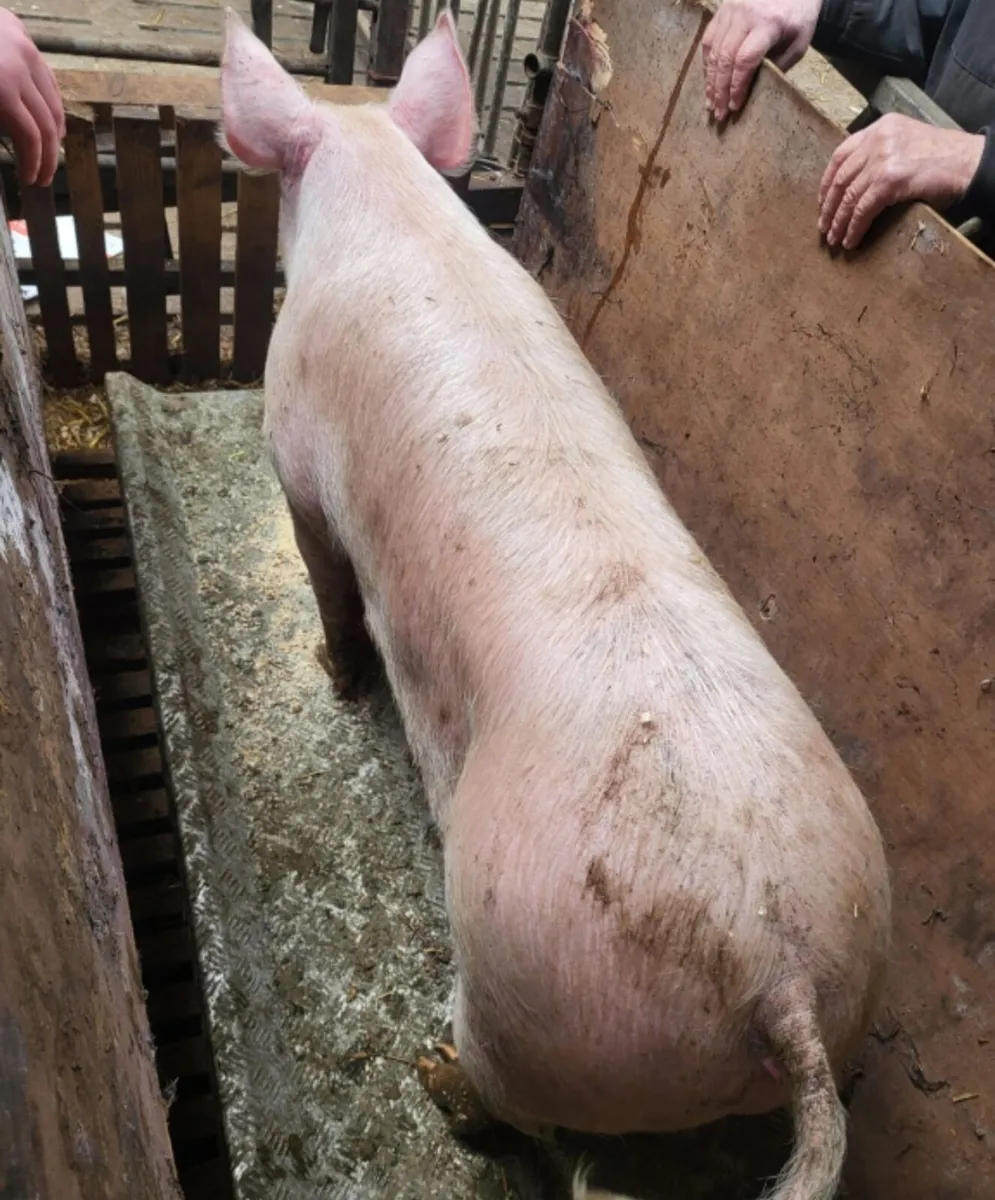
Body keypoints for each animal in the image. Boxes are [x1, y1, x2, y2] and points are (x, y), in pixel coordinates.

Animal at [220, 10, 891, 1199]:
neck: (386, 190)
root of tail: (782, 980)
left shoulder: (294, 451)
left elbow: (328, 581)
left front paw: (331, 677)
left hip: (526, 988)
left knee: (510, 1106)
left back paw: (435, 1080)